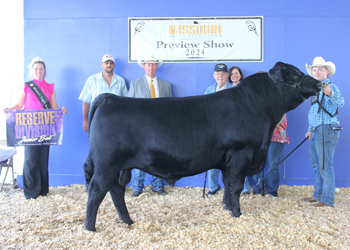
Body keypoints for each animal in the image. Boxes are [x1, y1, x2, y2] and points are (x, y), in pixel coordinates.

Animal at [84, 62, 320, 230]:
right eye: (292, 75)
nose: (319, 84)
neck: (260, 110)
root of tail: (108, 98)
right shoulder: (241, 153)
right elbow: (236, 185)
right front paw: (237, 213)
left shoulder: (228, 160)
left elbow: (227, 184)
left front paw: (226, 207)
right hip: (107, 164)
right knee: (97, 190)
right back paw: (90, 227)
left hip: (118, 166)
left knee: (115, 189)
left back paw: (127, 221)